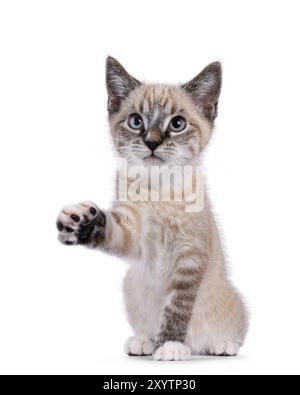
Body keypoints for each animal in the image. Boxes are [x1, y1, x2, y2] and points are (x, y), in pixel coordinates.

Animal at [55, 56, 246, 362]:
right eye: (136, 121)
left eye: (177, 124)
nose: (152, 142)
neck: (158, 191)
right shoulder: (135, 236)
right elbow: (113, 230)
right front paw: (82, 222)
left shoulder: (190, 257)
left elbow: (177, 308)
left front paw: (170, 345)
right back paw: (144, 341)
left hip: (232, 298)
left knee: (228, 329)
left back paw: (220, 344)